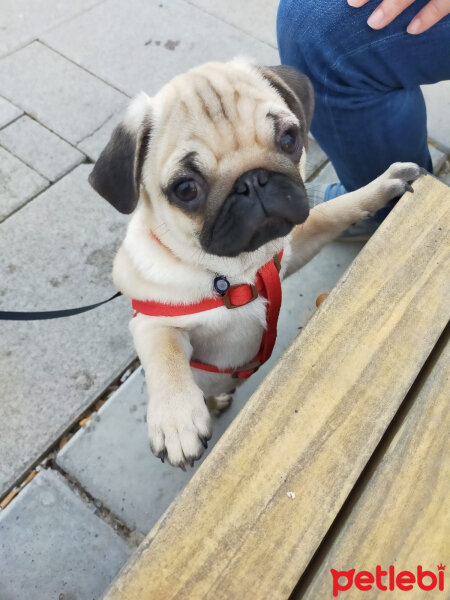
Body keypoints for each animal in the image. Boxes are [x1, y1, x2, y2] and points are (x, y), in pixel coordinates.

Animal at [89, 58, 422, 468]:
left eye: (289, 138)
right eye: (186, 189)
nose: (252, 181)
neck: (233, 272)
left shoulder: (293, 247)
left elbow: (335, 211)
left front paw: (381, 186)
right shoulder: (152, 320)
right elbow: (165, 353)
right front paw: (176, 420)